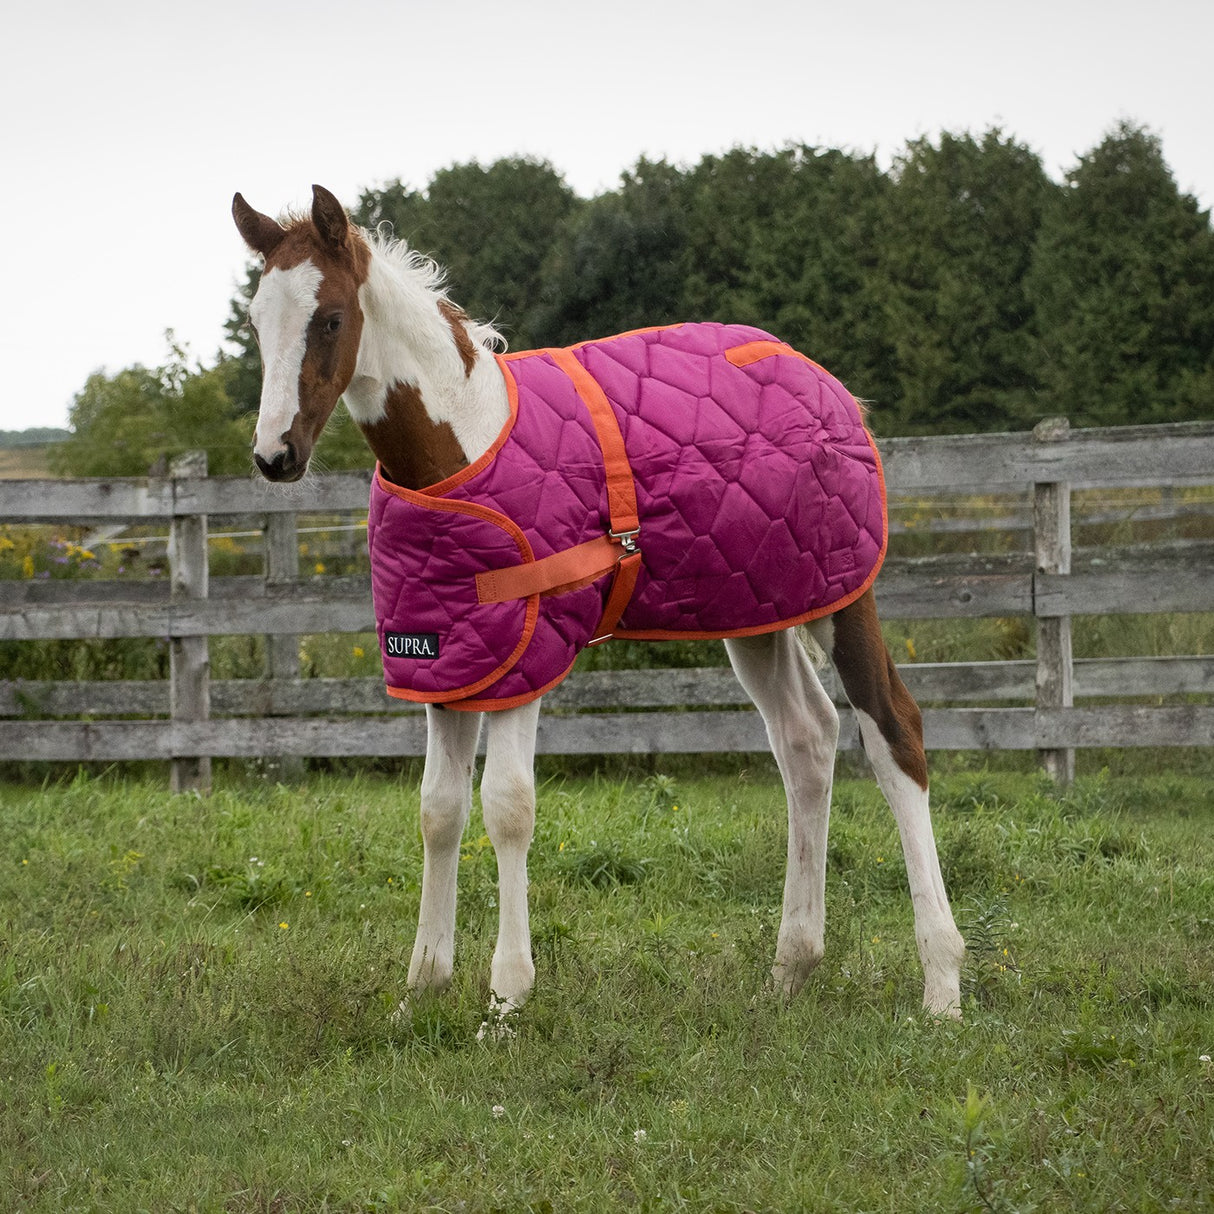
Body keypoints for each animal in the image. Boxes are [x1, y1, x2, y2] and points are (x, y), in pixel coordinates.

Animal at [232, 184, 966, 1024]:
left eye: (328, 318)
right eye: (255, 318)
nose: (274, 456)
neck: (462, 444)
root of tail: (832, 387)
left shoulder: (526, 654)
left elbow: (508, 805)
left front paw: (507, 1000)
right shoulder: (447, 661)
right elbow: (438, 810)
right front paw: (421, 992)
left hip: (844, 592)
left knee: (892, 732)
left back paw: (942, 985)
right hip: (759, 608)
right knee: (806, 740)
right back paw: (791, 970)